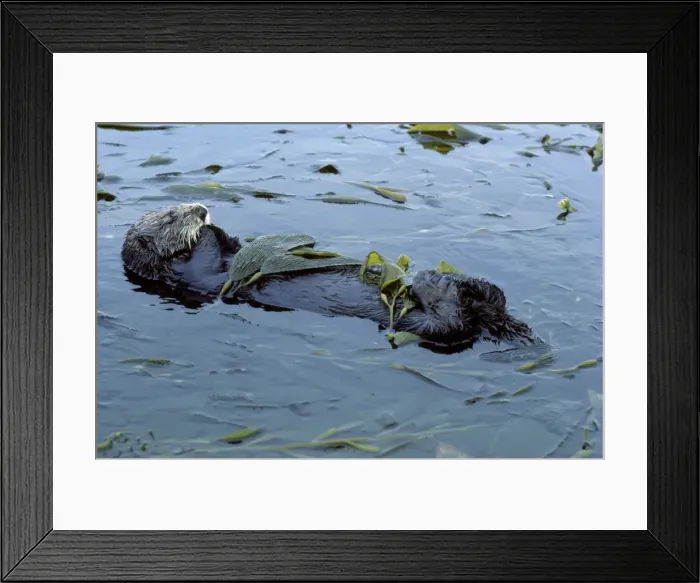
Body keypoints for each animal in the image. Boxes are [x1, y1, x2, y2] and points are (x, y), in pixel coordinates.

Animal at [121, 203, 540, 352]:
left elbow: (236, 245)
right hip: (421, 326)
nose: (200, 208)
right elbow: (205, 257)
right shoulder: (192, 275)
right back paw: (433, 283)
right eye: (171, 217)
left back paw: (459, 280)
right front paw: (205, 227)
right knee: (451, 322)